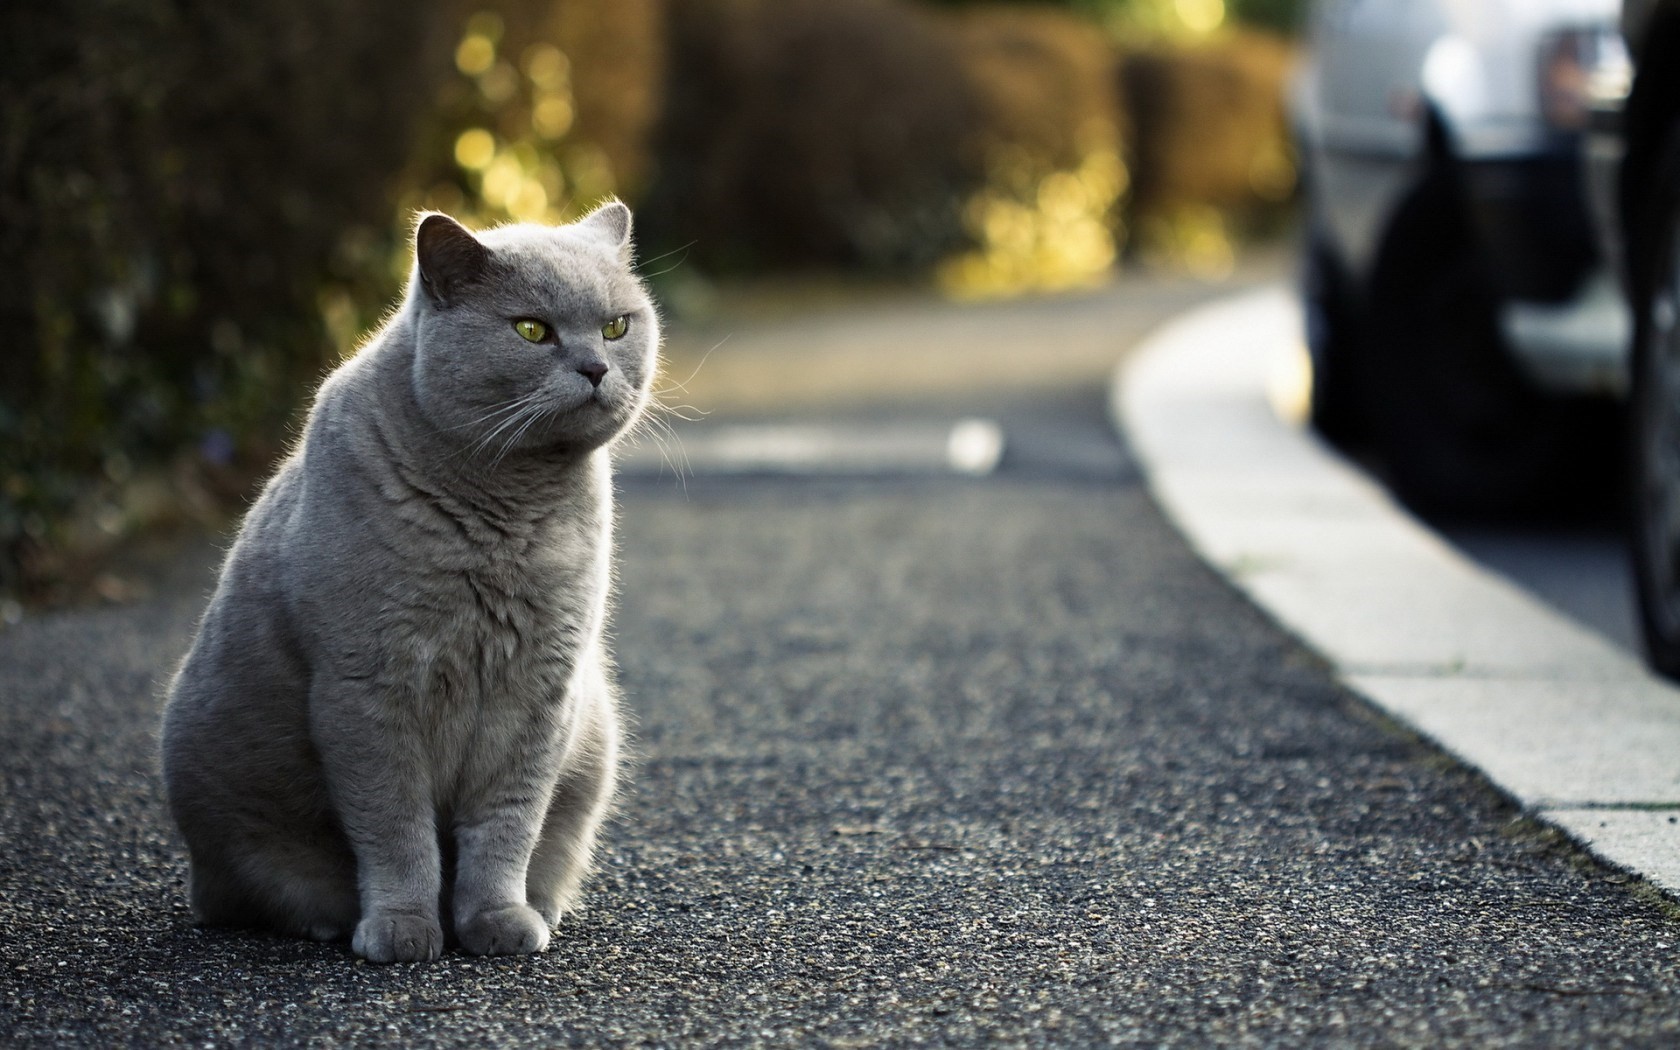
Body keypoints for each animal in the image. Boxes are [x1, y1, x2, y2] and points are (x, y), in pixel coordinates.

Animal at [163, 200, 658, 960]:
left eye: (616, 326)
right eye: (532, 329)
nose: (597, 366)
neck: (505, 510)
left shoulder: (541, 689)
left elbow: (507, 825)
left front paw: (498, 921)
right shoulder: (369, 688)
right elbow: (396, 829)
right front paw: (401, 929)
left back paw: (541, 906)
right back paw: (326, 919)